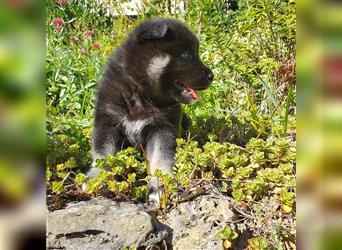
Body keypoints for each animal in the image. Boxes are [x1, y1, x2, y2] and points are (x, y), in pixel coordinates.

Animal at [87, 17, 212, 201]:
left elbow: (160, 158)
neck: (140, 92)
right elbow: (103, 154)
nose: (212, 76)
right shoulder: (107, 123)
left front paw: (160, 184)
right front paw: (96, 177)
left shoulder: (163, 128)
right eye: (187, 55)